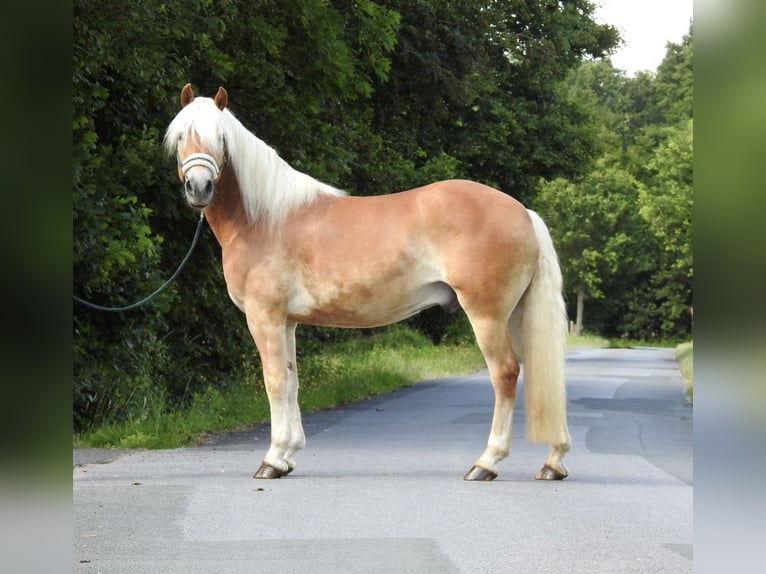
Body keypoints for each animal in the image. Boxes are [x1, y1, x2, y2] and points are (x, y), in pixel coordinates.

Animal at [164, 84, 571, 481]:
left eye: (220, 137)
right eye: (182, 134)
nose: (199, 187)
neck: (264, 218)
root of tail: (522, 212)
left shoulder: (264, 317)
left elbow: (275, 381)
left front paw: (272, 459)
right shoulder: (287, 322)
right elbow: (292, 381)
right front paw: (288, 455)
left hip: (487, 315)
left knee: (505, 374)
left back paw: (487, 463)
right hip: (516, 315)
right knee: (541, 374)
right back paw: (552, 462)